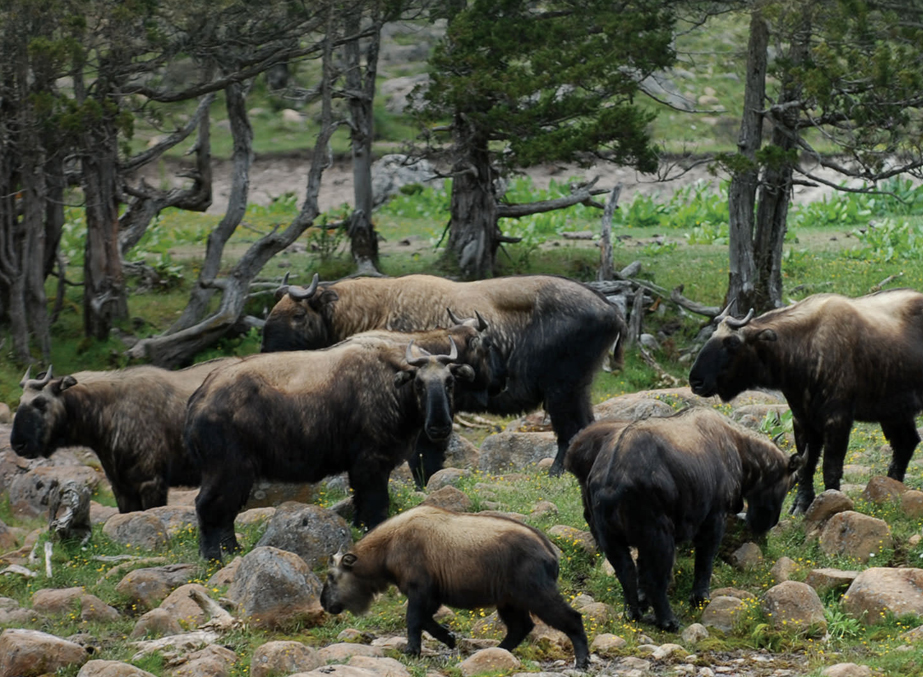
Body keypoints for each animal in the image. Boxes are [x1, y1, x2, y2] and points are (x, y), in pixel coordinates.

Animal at [322, 504, 588, 668]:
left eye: (332, 576)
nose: (324, 604)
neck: (389, 546)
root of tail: (549, 552)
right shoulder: (432, 594)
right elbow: (426, 620)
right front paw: (449, 638)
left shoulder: (419, 589)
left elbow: (413, 620)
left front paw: (412, 650)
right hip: (509, 601)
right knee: (521, 627)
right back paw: (496, 651)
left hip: (536, 594)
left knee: (572, 619)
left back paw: (582, 661)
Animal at [568, 404, 796, 632]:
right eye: (788, 484)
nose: (769, 523)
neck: (738, 447)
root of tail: (611, 482)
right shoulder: (714, 519)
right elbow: (704, 561)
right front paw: (699, 598)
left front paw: (643, 601)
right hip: (659, 537)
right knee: (656, 580)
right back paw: (668, 621)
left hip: (610, 538)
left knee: (626, 573)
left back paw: (633, 613)